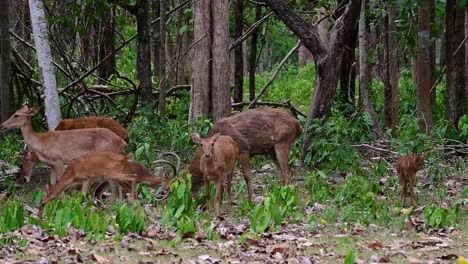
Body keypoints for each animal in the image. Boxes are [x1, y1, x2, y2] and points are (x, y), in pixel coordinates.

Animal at [39, 152, 176, 209]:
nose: (40, 213)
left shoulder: (87, 180)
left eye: (43, 203)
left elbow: (81, 197)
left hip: (112, 177)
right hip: (111, 179)